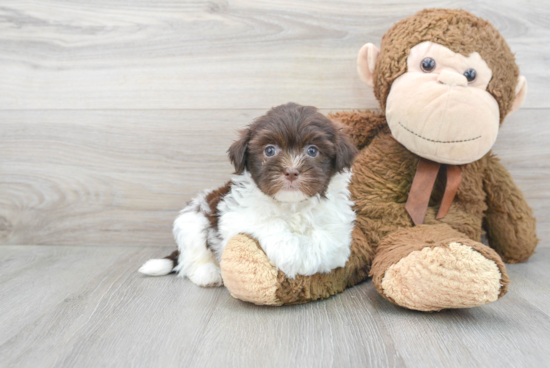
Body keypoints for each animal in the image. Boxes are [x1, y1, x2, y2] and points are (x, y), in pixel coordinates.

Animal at [140, 102, 360, 286]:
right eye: (270, 150)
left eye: (312, 151)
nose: (291, 171)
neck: (292, 204)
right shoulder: (235, 216)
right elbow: (271, 224)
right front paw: (292, 257)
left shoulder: (337, 223)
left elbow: (329, 241)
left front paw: (310, 260)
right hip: (193, 221)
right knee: (191, 257)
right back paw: (208, 273)